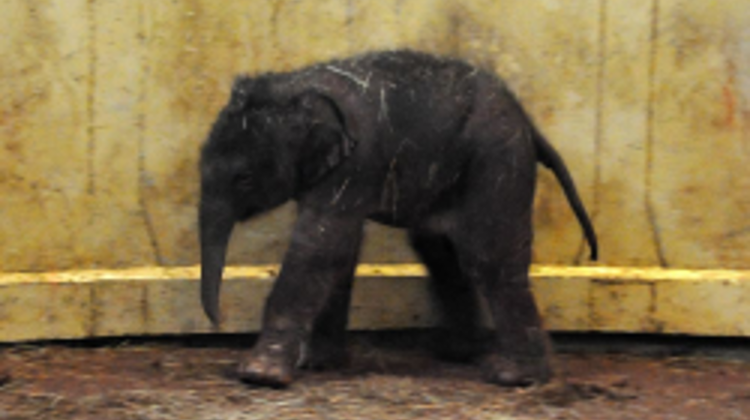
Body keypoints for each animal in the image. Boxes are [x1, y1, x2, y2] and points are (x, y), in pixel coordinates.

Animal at [199, 50, 598, 388]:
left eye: (243, 178)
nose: (218, 321)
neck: (298, 84)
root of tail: (528, 123)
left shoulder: (355, 164)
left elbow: (318, 248)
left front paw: (260, 375)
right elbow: (340, 252)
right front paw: (315, 363)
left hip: (497, 161)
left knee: (490, 258)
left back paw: (513, 376)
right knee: (436, 250)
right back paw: (456, 353)